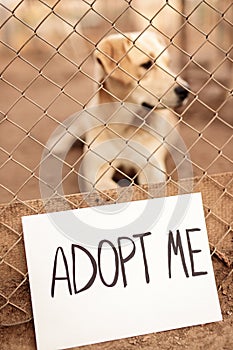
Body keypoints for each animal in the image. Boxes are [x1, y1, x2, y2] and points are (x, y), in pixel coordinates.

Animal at [47, 30, 189, 191]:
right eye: (146, 64)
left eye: (168, 63)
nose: (186, 90)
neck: (123, 128)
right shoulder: (96, 171)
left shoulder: (152, 168)